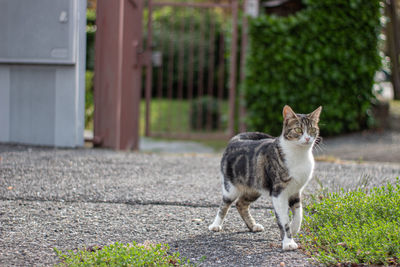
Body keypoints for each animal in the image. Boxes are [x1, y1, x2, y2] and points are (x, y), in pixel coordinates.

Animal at [209, 104, 322, 251]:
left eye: (312, 129)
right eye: (298, 129)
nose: (308, 138)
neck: (299, 155)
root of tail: (236, 139)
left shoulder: (296, 190)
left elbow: (299, 213)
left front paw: (294, 228)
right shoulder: (278, 192)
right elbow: (283, 220)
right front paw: (288, 242)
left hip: (254, 188)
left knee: (241, 204)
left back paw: (253, 226)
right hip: (230, 187)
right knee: (225, 204)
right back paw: (216, 225)